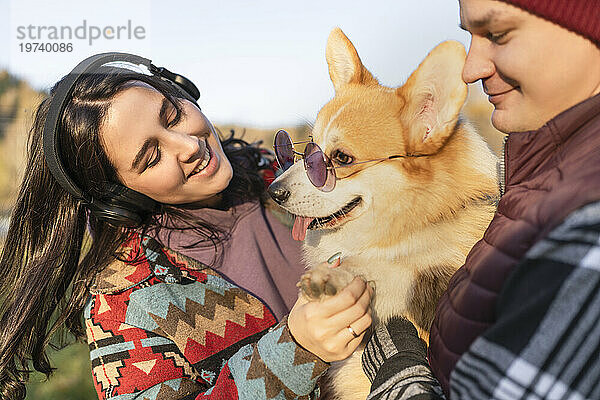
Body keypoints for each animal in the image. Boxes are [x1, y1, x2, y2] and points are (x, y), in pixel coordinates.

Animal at [268, 28, 496, 400]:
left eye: (342, 158)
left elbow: (396, 275)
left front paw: (335, 277)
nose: (273, 192)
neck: (415, 222)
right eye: (310, 149)